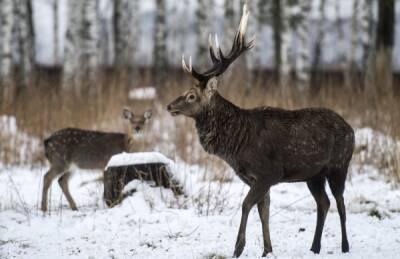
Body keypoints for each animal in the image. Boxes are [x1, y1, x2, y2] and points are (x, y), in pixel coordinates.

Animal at [166, 4, 354, 258]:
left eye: (191, 96)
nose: (169, 106)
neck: (236, 145)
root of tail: (351, 129)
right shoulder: (253, 178)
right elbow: (263, 210)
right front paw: (267, 250)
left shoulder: (268, 173)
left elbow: (247, 205)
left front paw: (238, 248)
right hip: (314, 174)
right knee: (323, 203)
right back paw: (314, 247)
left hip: (339, 166)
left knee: (341, 203)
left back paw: (345, 247)